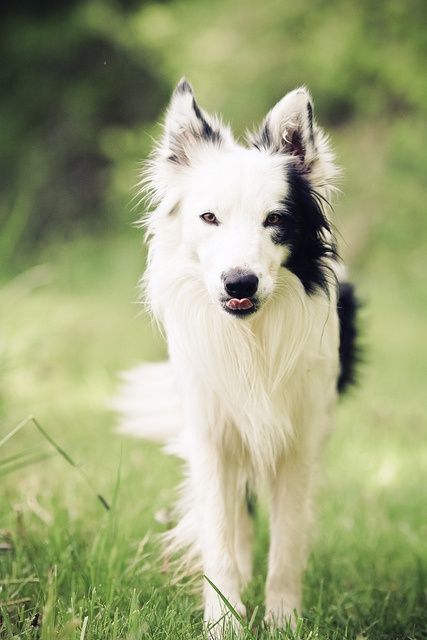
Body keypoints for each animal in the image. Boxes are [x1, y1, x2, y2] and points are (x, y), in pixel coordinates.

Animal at [113, 80, 358, 636]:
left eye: (276, 220)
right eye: (209, 217)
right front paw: (224, 621)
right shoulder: (210, 434)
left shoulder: (299, 439)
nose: (239, 283)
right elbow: (220, 536)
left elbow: (287, 542)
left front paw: (284, 622)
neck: (252, 339)